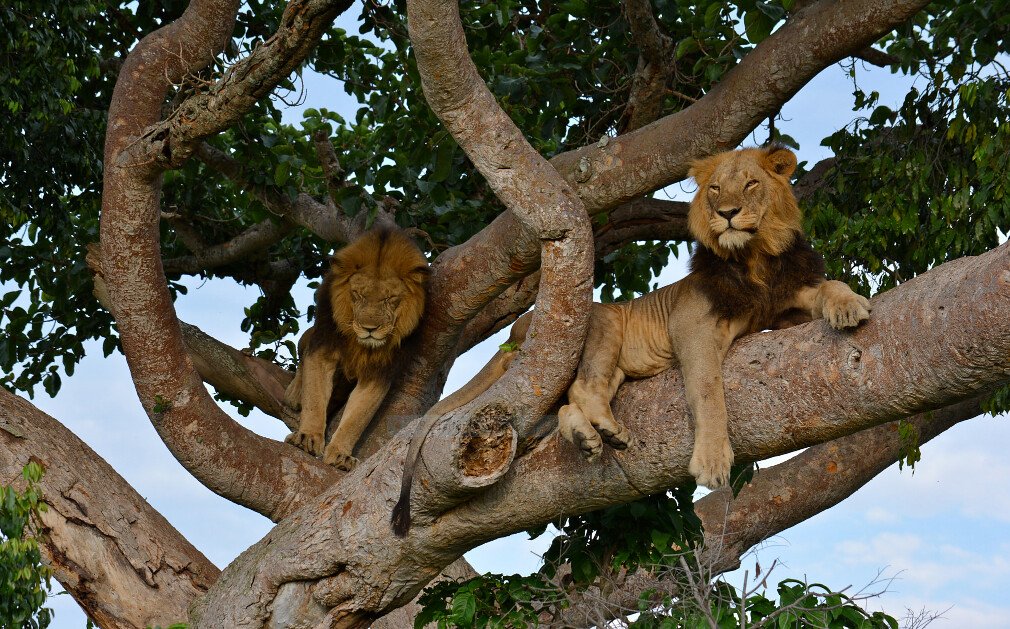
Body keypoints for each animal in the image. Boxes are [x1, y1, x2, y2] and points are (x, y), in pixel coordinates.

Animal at [284, 227, 429, 471]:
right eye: (358, 294)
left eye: (390, 298)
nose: (370, 329)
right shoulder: (323, 346)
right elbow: (315, 398)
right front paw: (307, 438)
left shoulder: (380, 371)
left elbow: (357, 418)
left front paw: (340, 455)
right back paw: (294, 393)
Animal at [391, 146, 870, 535]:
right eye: (715, 189)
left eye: (751, 184)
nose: (728, 213)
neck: (754, 259)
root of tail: (514, 332)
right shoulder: (691, 321)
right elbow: (708, 387)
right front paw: (712, 461)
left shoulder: (783, 309)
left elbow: (829, 287)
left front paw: (851, 306)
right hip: (602, 320)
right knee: (584, 388)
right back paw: (603, 428)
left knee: (566, 404)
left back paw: (590, 436)